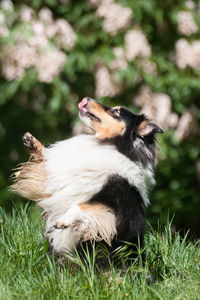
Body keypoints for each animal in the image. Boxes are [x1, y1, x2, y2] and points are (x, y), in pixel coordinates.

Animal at [10, 97, 162, 264]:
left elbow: (80, 206)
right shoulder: (57, 181)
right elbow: (46, 162)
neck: (111, 147)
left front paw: (63, 221)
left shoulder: (110, 213)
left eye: (116, 111)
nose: (86, 99)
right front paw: (32, 142)